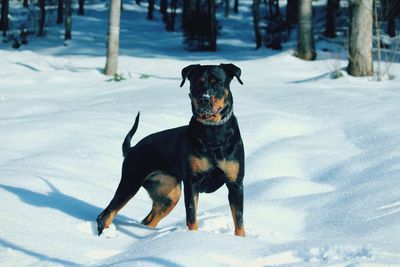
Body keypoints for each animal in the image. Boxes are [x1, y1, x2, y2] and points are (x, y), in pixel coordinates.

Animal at [97, 63, 247, 238]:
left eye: (217, 83)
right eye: (197, 83)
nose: (204, 99)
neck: (213, 133)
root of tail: (132, 149)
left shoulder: (235, 183)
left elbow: (239, 220)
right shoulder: (192, 182)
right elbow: (191, 217)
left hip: (169, 194)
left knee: (148, 220)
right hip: (131, 181)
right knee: (106, 215)